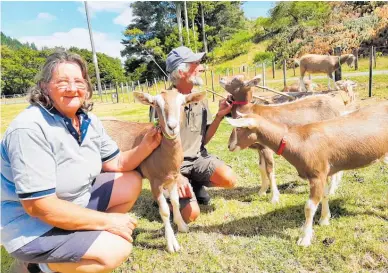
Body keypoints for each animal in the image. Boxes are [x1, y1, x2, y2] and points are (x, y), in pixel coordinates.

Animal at [102, 88, 206, 251]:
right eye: (156, 105)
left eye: (183, 104)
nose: (172, 127)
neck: (162, 153)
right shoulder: (155, 182)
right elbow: (164, 211)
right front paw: (171, 244)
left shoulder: (173, 179)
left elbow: (175, 202)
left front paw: (182, 226)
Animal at [220, 74, 348, 202]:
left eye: (236, 79)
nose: (221, 79)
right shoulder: (260, 148)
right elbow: (261, 167)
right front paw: (262, 191)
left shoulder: (266, 147)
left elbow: (269, 169)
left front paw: (274, 197)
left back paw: (331, 190)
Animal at [226, 101, 388, 245]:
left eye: (239, 128)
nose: (229, 146)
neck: (297, 141)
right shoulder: (323, 173)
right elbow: (325, 195)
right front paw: (324, 219)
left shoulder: (316, 175)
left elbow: (309, 207)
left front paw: (304, 239)